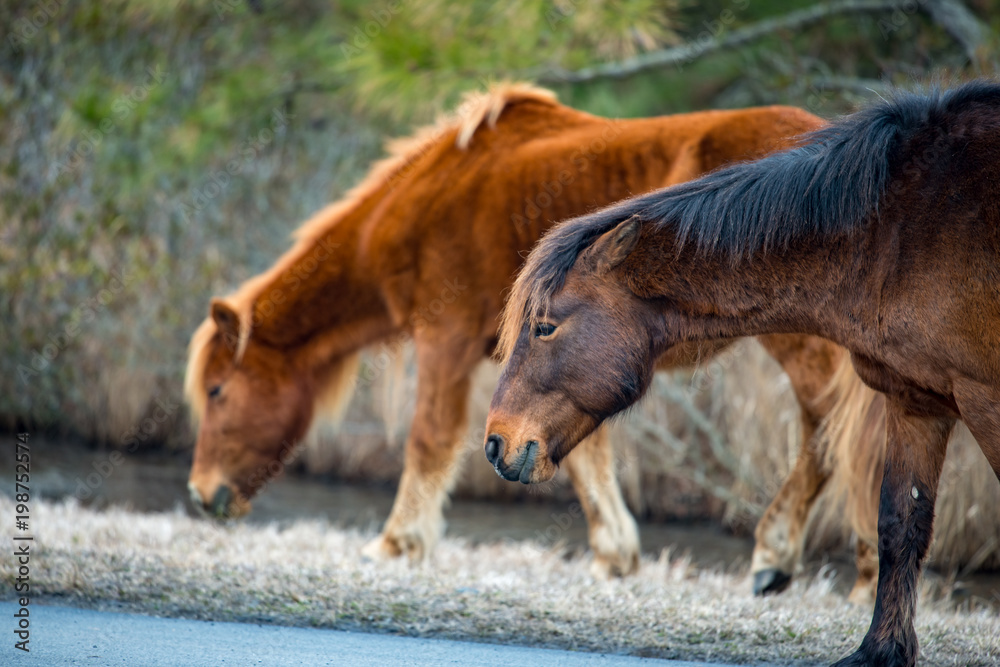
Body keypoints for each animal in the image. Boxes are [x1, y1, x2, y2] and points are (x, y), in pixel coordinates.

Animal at [186, 81, 859, 585]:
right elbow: (582, 454)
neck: (425, 202)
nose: (199, 495)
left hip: (804, 340)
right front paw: (615, 555)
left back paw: (796, 560)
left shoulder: (446, 341)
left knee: (835, 430)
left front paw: (398, 543)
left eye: (217, 391)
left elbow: (428, 441)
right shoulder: (557, 368)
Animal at [488, 80, 1000, 667]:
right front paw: (881, 652)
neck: (899, 233)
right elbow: (900, 526)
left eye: (545, 327)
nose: (496, 443)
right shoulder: (916, 401)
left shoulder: (983, 399)